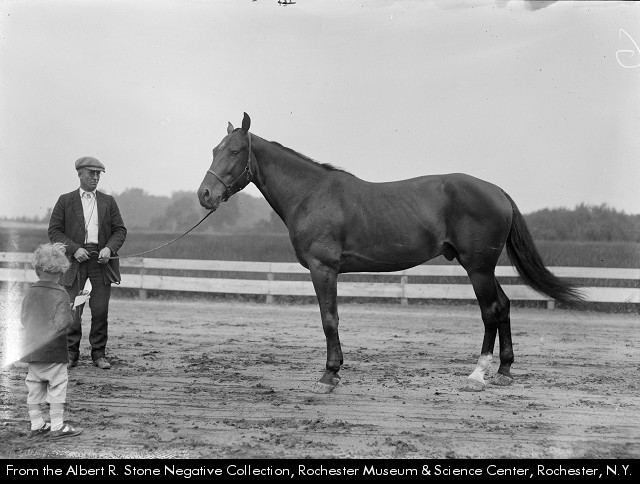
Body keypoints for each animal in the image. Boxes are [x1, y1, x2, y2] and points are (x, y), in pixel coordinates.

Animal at [197, 112, 585, 393]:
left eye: (234, 151)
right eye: (214, 150)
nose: (205, 195)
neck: (311, 194)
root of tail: (498, 191)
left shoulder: (323, 269)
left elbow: (329, 319)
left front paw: (329, 375)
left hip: (478, 268)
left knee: (490, 311)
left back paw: (477, 375)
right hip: (483, 267)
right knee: (503, 306)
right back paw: (503, 371)